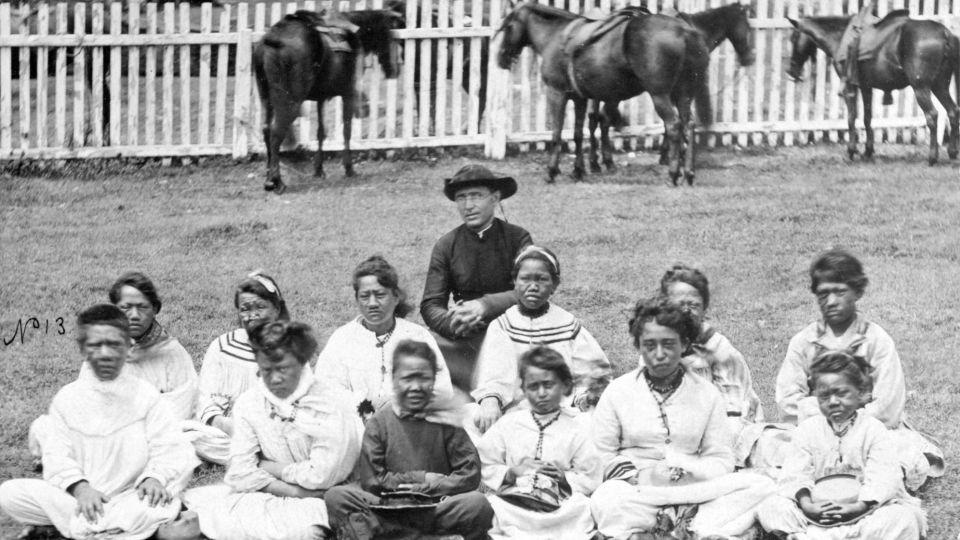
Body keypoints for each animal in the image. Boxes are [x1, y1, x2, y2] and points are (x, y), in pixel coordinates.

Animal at [255, 9, 402, 193]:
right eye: (391, 37)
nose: (395, 69)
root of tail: (273, 40)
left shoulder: (321, 97)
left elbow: (321, 132)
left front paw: (319, 170)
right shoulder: (348, 93)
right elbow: (346, 131)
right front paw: (349, 168)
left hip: (266, 99)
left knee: (266, 130)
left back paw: (269, 177)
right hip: (290, 101)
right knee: (276, 132)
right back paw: (276, 181)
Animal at [496, 1, 712, 185]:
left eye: (507, 26)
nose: (501, 58)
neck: (556, 37)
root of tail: (684, 31)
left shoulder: (557, 93)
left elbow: (557, 134)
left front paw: (552, 171)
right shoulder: (580, 98)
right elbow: (578, 134)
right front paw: (578, 170)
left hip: (660, 95)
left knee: (674, 126)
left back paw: (674, 173)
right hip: (683, 94)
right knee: (689, 125)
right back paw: (689, 173)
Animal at [588, 2, 752, 174]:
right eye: (747, 25)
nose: (749, 58)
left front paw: (670, 156)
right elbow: (674, 123)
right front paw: (672, 157)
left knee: (594, 120)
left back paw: (595, 163)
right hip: (613, 95)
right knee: (603, 119)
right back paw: (606, 162)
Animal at [788, 13, 960, 163]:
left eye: (794, 38)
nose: (791, 71)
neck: (842, 37)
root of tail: (944, 33)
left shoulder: (850, 88)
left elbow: (851, 118)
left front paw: (851, 150)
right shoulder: (866, 87)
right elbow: (867, 118)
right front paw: (868, 151)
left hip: (921, 88)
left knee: (932, 115)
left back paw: (932, 157)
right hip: (940, 87)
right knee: (953, 111)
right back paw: (952, 152)